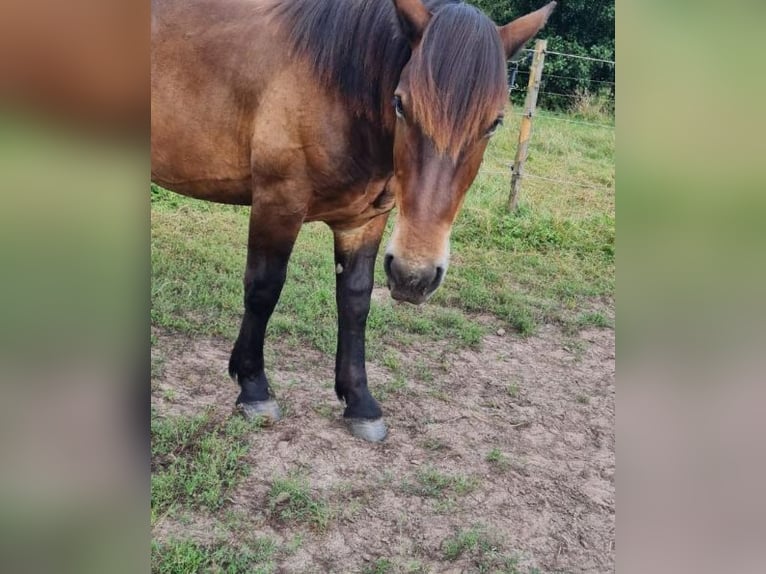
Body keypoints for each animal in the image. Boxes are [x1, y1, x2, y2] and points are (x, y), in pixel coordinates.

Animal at [152, 0, 560, 444]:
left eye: (495, 122)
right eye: (400, 104)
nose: (415, 276)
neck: (331, 86)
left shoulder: (365, 220)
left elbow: (355, 300)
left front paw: (360, 402)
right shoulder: (278, 202)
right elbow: (264, 289)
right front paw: (254, 388)